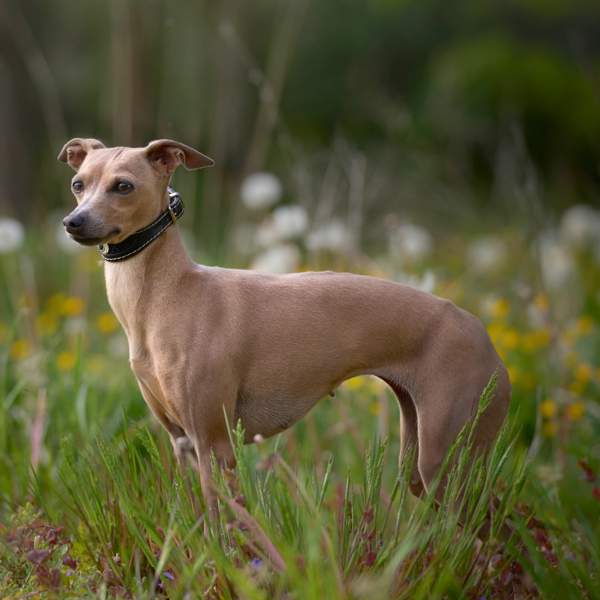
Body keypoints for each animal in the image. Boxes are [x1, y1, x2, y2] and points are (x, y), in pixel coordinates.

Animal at [57, 137, 510, 516]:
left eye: (124, 186)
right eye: (79, 183)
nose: (73, 222)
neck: (169, 295)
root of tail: (481, 331)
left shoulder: (214, 444)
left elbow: (223, 525)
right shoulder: (182, 443)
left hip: (445, 459)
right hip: (419, 458)